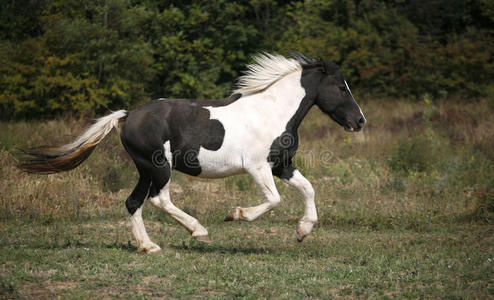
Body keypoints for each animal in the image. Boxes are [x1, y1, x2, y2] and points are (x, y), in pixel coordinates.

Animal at [18, 52, 362, 253]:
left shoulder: (281, 165)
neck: (271, 113)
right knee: (159, 199)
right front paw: (235, 214)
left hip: (145, 168)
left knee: (133, 202)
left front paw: (303, 231)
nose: (360, 121)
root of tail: (127, 115)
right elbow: (274, 200)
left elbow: (309, 188)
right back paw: (199, 231)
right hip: (159, 166)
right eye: (341, 87)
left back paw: (149, 246)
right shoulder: (257, 167)